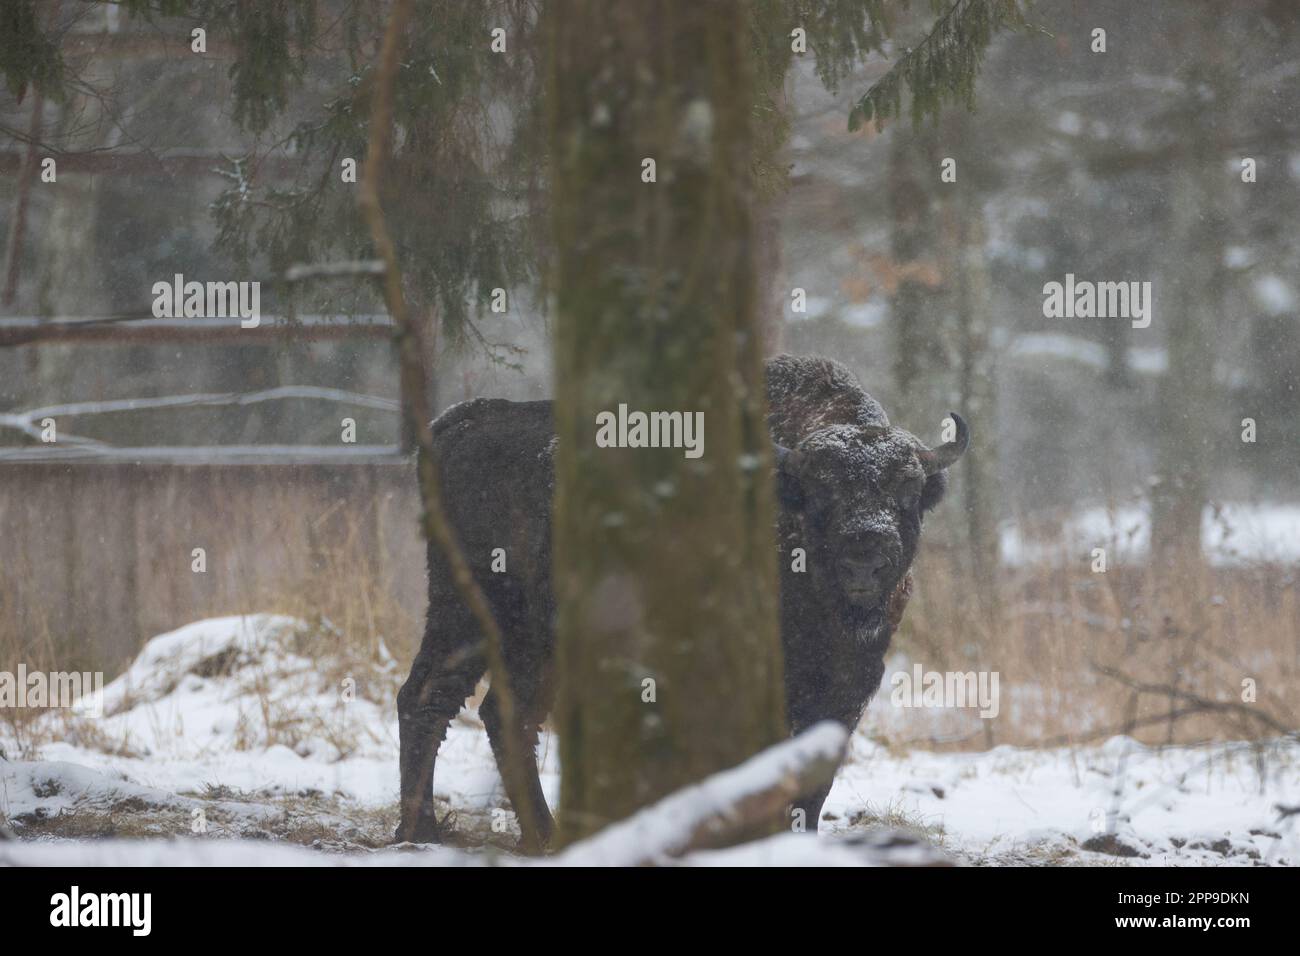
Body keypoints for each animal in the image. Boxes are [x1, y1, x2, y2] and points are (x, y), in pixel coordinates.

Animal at [395, 353, 967, 842]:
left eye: (908, 491)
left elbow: (814, 781)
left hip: (525, 637)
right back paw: (449, 832)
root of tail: (455, 425)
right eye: (823, 490)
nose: (865, 557)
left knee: (482, 708)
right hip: (470, 609)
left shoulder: (849, 687)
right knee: (443, 701)